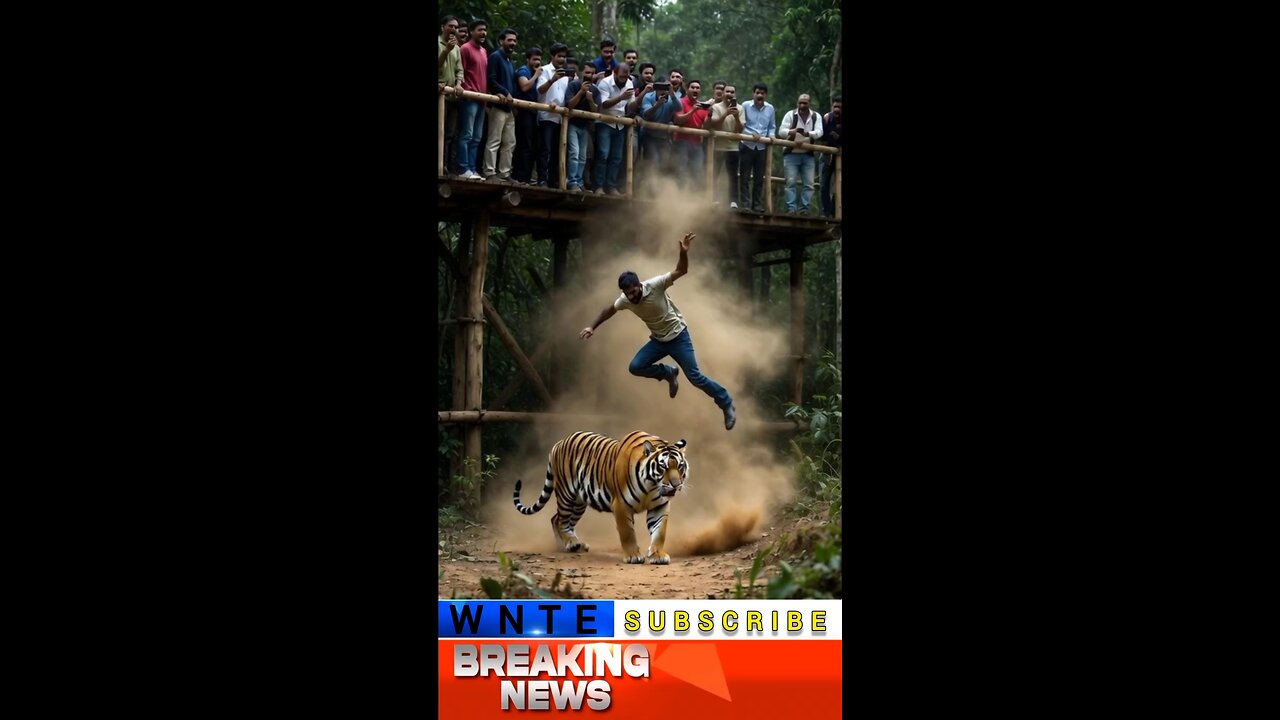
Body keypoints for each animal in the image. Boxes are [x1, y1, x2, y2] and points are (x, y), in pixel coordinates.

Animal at [513, 430, 689, 564]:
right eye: (663, 467)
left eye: (679, 466)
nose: (676, 484)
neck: (651, 486)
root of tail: (559, 442)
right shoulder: (621, 505)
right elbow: (628, 533)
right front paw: (633, 556)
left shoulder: (659, 506)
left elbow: (659, 532)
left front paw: (658, 555)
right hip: (566, 494)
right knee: (561, 520)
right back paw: (571, 543)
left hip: (579, 503)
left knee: (557, 519)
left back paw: (570, 545)